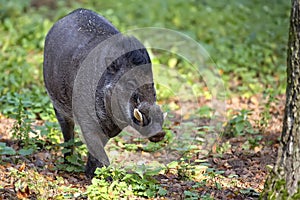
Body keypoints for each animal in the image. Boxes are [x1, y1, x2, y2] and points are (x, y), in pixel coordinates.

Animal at [43, 8, 165, 178]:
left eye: (152, 85)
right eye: (130, 83)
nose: (160, 132)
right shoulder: (87, 121)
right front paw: (93, 176)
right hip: (57, 104)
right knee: (67, 132)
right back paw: (67, 162)